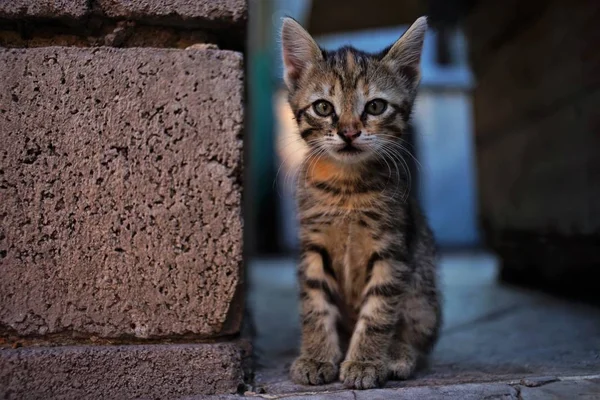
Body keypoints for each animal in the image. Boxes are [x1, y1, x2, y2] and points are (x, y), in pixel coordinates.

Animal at [282, 17, 440, 390]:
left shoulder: (391, 250)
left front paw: (365, 361)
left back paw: (397, 354)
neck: (347, 188)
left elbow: (378, 311)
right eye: (323, 107)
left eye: (375, 106)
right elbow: (315, 303)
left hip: (423, 290)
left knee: (417, 332)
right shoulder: (313, 245)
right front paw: (316, 357)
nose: (349, 132)